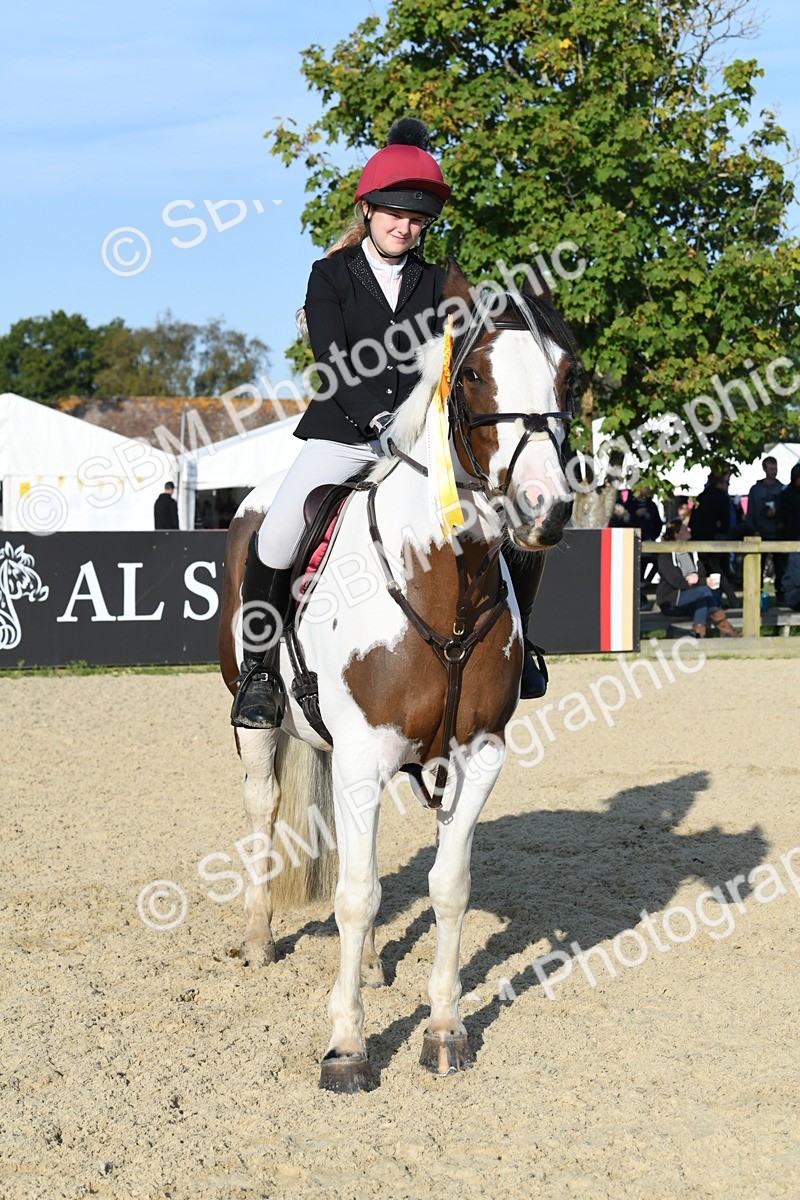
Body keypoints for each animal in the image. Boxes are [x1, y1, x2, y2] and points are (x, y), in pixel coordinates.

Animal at [218, 260, 579, 1092]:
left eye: (566, 376)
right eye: (473, 375)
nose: (544, 509)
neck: (445, 583)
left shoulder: (476, 755)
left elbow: (447, 886)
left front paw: (444, 1029)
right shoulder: (360, 755)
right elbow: (356, 894)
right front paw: (346, 1045)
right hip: (262, 731)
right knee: (265, 810)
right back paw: (258, 937)